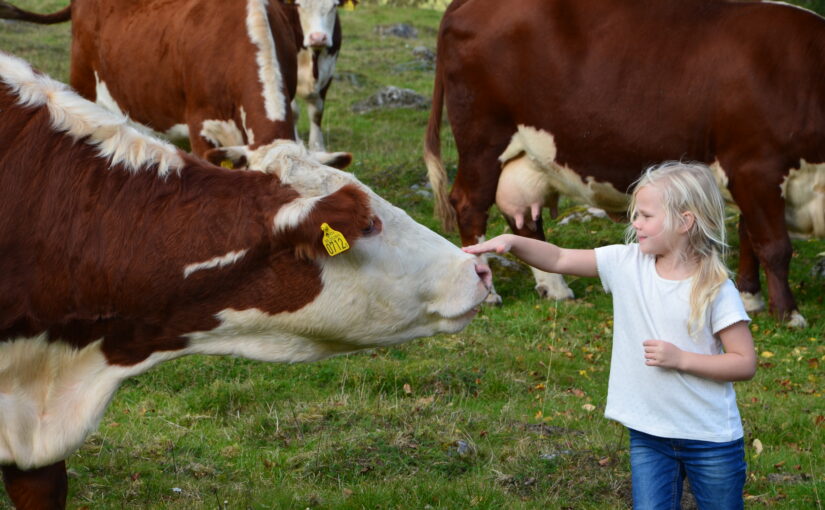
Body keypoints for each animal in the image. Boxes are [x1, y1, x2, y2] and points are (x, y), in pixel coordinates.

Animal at [424, 0, 824, 326]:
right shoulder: (755, 167)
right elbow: (774, 244)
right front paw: (788, 313)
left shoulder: (749, 176)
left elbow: (749, 237)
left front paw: (749, 297)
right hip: (482, 137)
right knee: (470, 204)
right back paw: (489, 294)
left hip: (529, 156)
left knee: (524, 220)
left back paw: (556, 288)